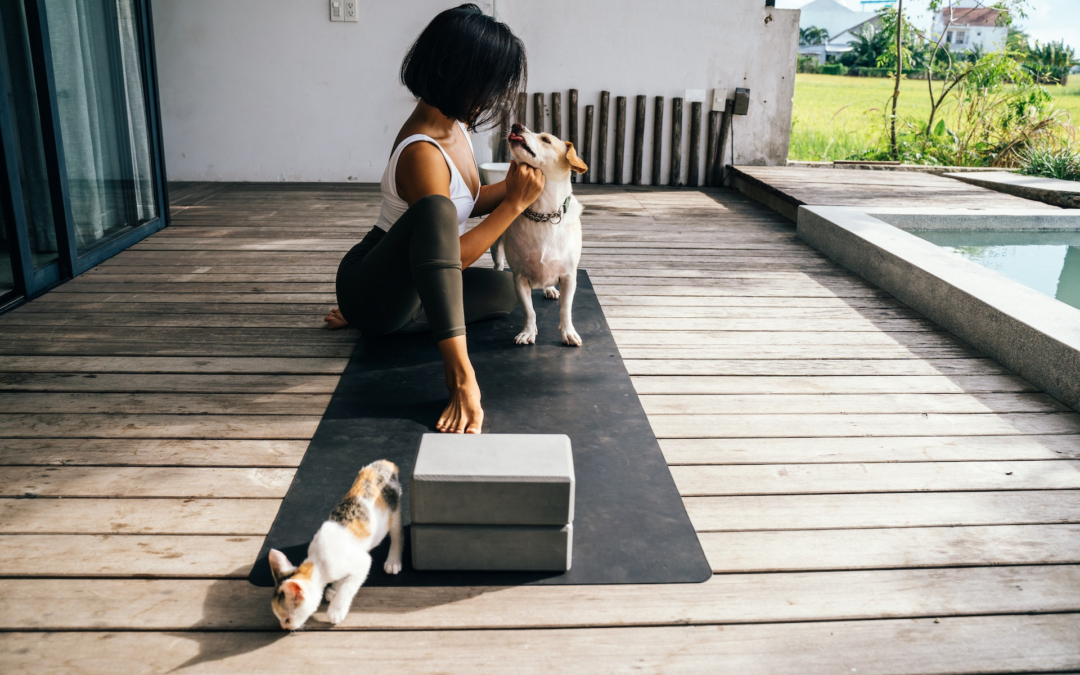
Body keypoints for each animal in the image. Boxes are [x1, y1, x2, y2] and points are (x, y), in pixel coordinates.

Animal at [267, 455, 403, 630]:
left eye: (287, 619)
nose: (284, 628)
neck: (318, 562)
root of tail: (384, 463)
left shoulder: (362, 562)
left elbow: (348, 587)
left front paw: (336, 610)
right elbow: (342, 581)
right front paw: (334, 590)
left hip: (394, 509)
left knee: (397, 533)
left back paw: (393, 561)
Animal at [496, 123, 591, 347]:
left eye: (546, 140)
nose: (516, 125)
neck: (543, 214)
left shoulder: (569, 277)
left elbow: (566, 309)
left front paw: (568, 332)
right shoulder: (519, 279)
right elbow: (529, 310)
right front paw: (528, 332)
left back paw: (550, 289)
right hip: (496, 248)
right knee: (498, 262)